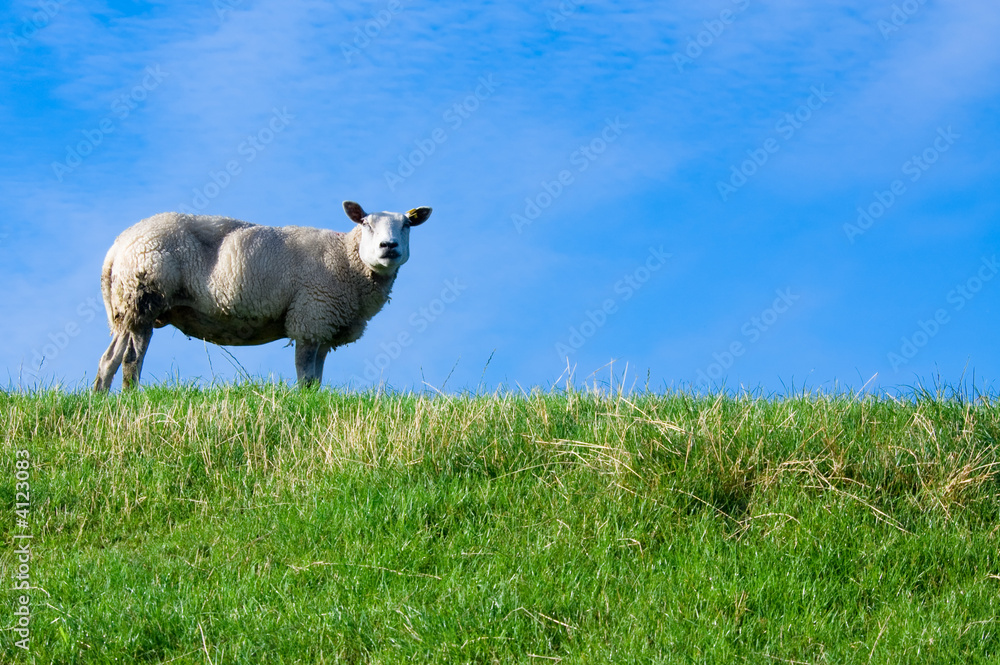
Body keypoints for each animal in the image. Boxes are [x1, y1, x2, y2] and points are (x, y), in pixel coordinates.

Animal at [93, 201, 432, 391]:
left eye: (406, 225)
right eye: (365, 224)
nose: (389, 247)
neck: (347, 260)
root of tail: (117, 247)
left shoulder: (323, 327)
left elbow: (317, 378)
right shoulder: (310, 317)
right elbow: (306, 376)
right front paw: (305, 405)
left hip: (126, 307)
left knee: (110, 358)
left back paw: (101, 401)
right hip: (144, 297)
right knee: (132, 359)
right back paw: (131, 399)